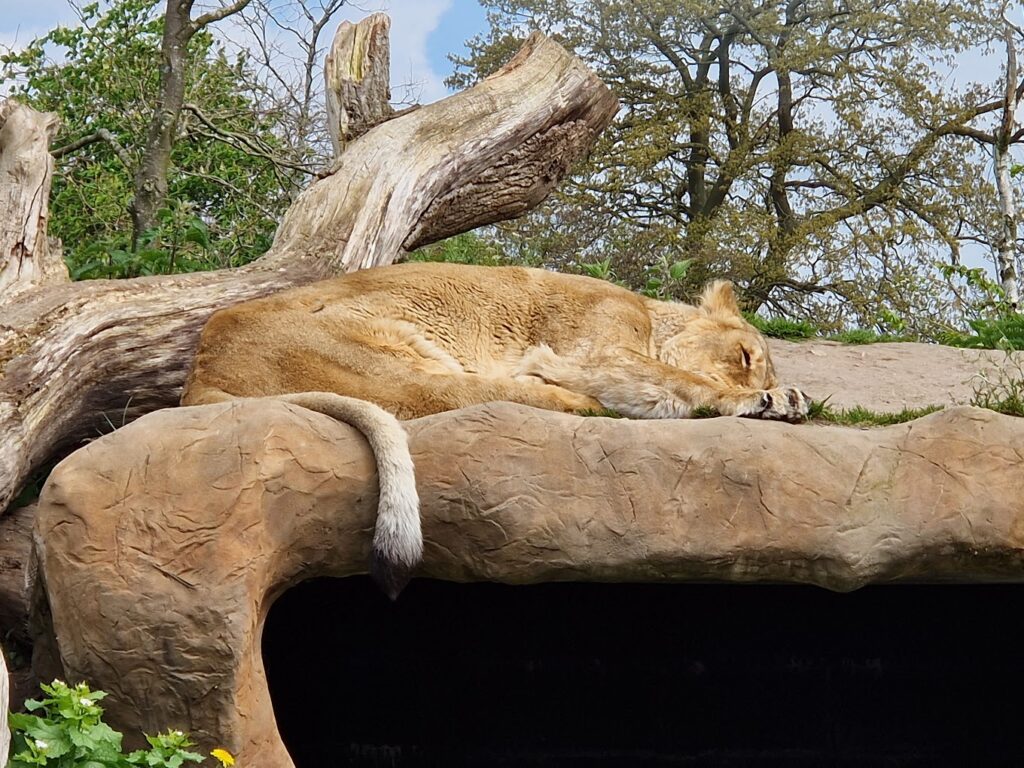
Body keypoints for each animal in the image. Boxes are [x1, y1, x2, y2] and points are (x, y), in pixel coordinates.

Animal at [181, 262, 809, 597]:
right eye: (746, 355)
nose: (769, 381)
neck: (652, 316)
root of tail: (201, 372)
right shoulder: (599, 352)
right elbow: (680, 382)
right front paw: (773, 400)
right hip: (403, 360)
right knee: (507, 395)